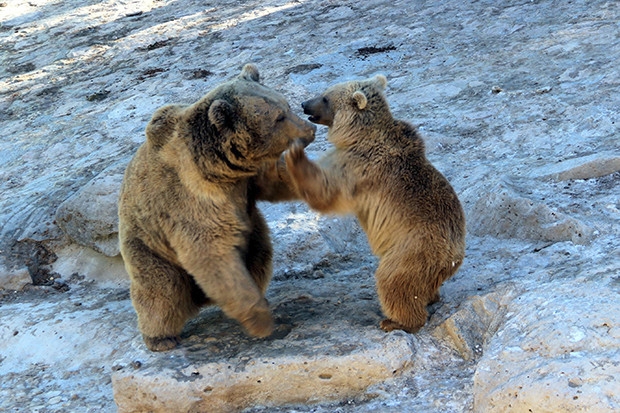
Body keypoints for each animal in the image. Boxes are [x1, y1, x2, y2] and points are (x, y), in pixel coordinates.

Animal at [119, 62, 318, 350]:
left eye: (286, 105)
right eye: (278, 117)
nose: (309, 129)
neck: (219, 170)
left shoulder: (246, 179)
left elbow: (274, 180)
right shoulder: (191, 200)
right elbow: (212, 255)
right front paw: (262, 322)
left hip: (252, 235)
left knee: (259, 256)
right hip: (147, 245)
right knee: (161, 288)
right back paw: (161, 337)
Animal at [284, 73, 462, 332]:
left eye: (325, 97)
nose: (304, 104)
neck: (359, 134)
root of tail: (453, 256)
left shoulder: (358, 166)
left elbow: (326, 191)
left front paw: (294, 154)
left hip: (411, 250)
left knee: (393, 281)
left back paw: (395, 321)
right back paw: (431, 298)